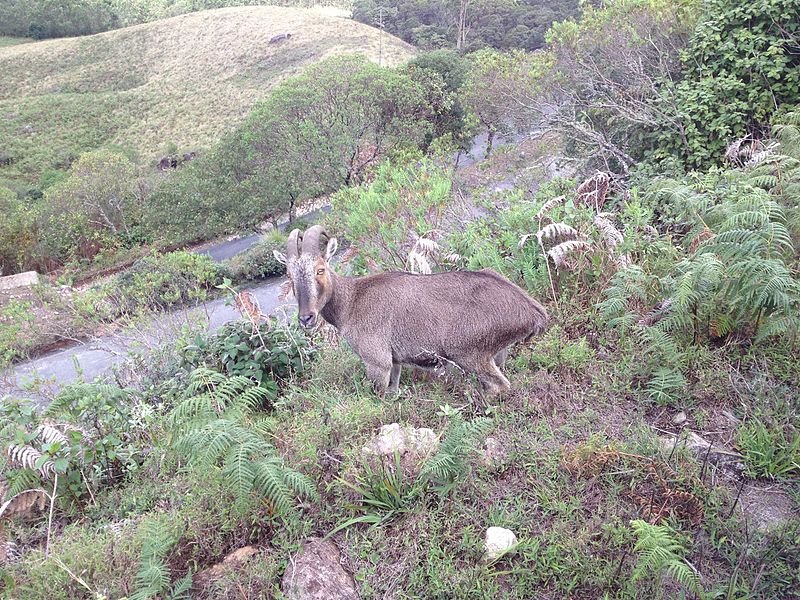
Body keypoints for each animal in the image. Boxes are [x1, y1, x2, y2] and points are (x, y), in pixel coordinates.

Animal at [276, 227, 552, 396]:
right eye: (290, 275)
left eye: (320, 269)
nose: (306, 318)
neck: (352, 301)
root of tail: (533, 311)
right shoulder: (395, 362)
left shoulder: (377, 362)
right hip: (496, 353)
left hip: (469, 353)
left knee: (500, 385)